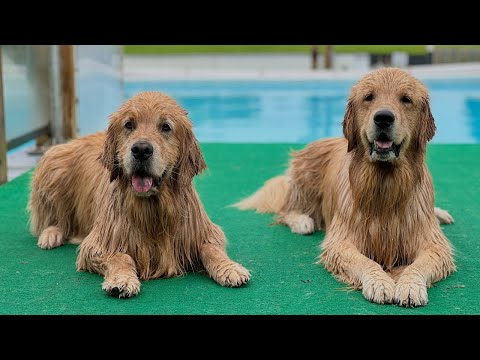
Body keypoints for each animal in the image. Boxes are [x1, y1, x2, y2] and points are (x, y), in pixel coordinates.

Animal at [29, 91, 251, 296]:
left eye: (165, 127)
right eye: (129, 124)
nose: (141, 150)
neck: (152, 207)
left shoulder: (201, 231)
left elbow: (211, 249)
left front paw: (230, 268)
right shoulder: (99, 241)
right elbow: (121, 256)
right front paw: (122, 280)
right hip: (54, 162)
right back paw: (51, 234)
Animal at [238, 67, 456, 306]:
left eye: (406, 99)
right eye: (369, 97)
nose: (383, 118)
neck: (385, 183)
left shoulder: (432, 242)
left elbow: (420, 263)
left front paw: (410, 285)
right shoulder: (342, 240)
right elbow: (365, 261)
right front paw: (380, 282)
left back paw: (440, 214)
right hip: (305, 179)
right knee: (286, 210)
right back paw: (302, 221)